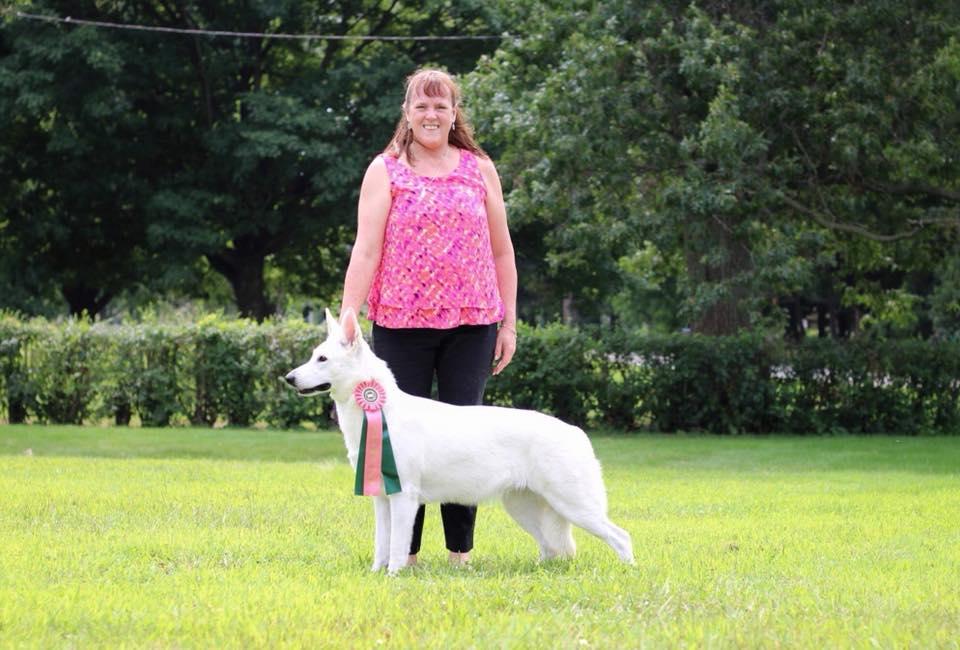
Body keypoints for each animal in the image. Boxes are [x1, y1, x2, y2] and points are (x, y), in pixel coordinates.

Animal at [284, 308, 632, 572]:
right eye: (313, 356)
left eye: (322, 359)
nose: (288, 378)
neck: (379, 410)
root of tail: (576, 432)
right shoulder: (381, 498)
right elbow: (381, 544)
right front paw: (375, 574)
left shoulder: (404, 498)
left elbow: (397, 545)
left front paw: (393, 576)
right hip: (525, 507)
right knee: (551, 548)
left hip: (575, 505)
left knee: (621, 537)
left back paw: (628, 572)